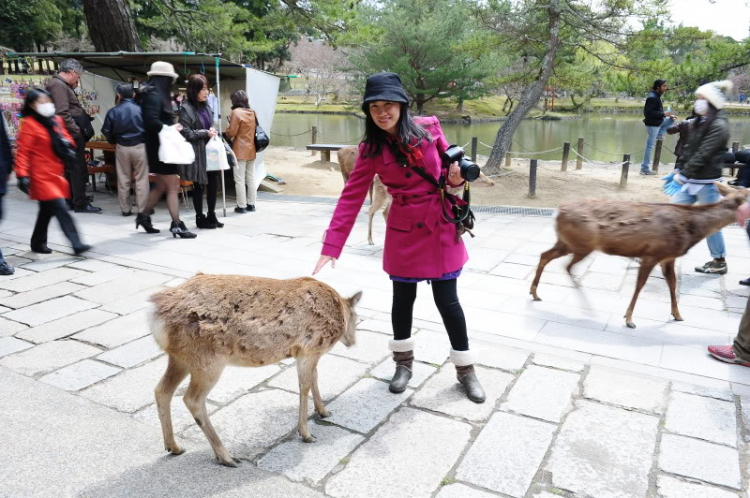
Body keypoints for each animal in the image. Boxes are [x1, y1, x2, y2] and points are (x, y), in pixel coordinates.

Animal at [149, 272, 362, 466]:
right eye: (357, 317)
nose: (353, 342)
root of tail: (157, 317)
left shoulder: (307, 354)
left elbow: (314, 378)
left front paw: (323, 411)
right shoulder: (310, 349)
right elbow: (305, 385)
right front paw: (307, 433)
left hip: (181, 357)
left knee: (162, 390)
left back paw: (174, 446)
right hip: (207, 360)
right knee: (191, 399)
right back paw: (225, 456)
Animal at [338, 144, 496, 245]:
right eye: (479, 175)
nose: (492, 182)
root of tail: (376, 177)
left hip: (389, 198)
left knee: (385, 212)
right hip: (380, 194)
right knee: (371, 210)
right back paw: (370, 240)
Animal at [532, 181, 748, 328]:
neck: (690, 232)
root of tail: (558, 211)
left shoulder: (668, 258)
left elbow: (672, 284)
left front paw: (677, 314)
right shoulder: (652, 254)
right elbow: (640, 285)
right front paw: (629, 319)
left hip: (567, 242)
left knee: (545, 255)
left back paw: (535, 293)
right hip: (582, 244)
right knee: (565, 265)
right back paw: (583, 302)